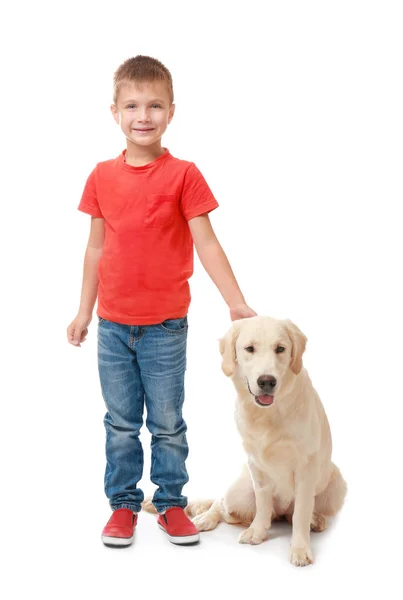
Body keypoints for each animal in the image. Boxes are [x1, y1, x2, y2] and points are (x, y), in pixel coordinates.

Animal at [186, 316, 348, 564]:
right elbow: (262, 503)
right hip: (239, 491)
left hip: (337, 482)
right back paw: (205, 518)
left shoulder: (306, 467)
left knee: (296, 513)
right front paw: (257, 531)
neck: (269, 413)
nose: (266, 381)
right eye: (249, 349)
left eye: (280, 349)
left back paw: (315, 519)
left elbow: (301, 512)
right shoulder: (256, 464)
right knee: (221, 503)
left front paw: (300, 548)